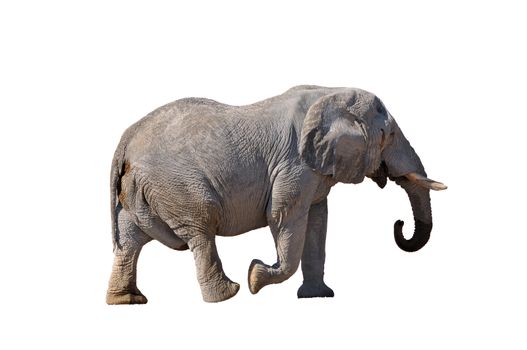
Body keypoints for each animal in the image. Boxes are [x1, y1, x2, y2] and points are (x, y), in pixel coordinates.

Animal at [106, 84, 446, 304]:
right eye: (388, 135)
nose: (398, 225)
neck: (330, 93)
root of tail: (126, 140)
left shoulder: (316, 171)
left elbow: (317, 221)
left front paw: (317, 298)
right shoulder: (294, 164)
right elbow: (283, 215)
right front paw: (256, 277)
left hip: (141, 189)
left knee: (130, 240)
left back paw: (128, 300)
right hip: (176, 183)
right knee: (200, 228)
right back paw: (228, 295)